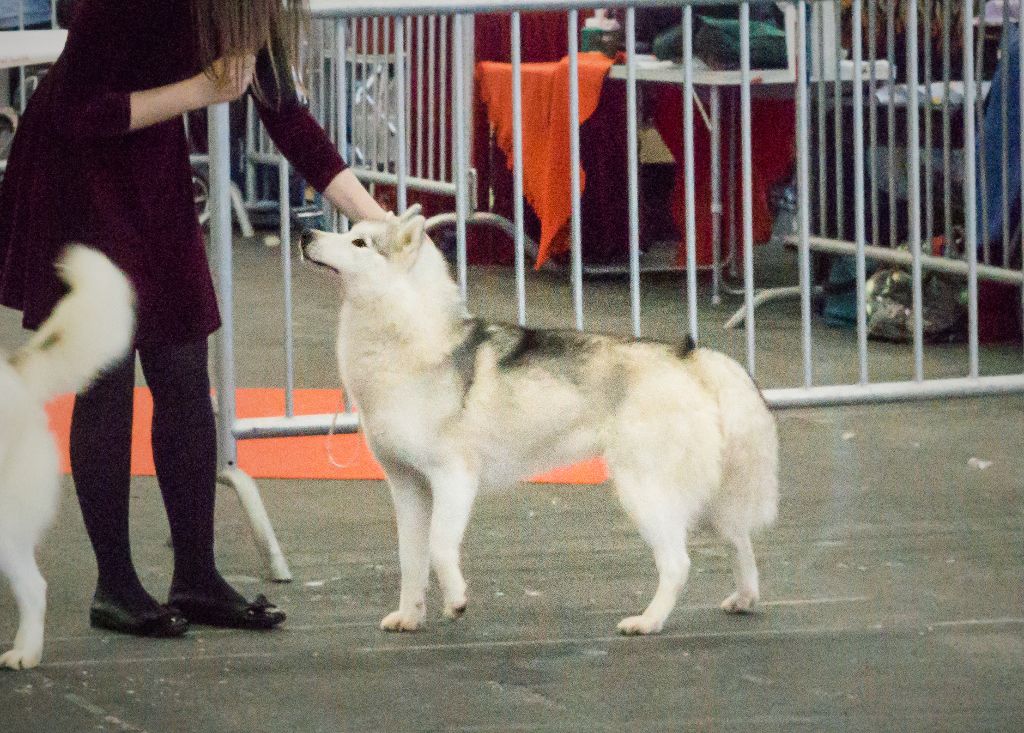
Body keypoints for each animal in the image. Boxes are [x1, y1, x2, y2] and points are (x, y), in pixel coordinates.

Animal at [301, 206, 778, 635]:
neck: (405, 342)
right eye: (349, 231)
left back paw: (648, 621)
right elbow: (411, 562)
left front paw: (456, 600)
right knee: (739, 538)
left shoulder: (454, 477)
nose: (306, 233)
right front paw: (409, 616)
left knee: (678, 563)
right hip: (703, 497)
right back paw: (745, 597)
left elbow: (439, 549)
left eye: (359, 243)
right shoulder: (407, 487)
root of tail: (690, 356)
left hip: (644, 491)